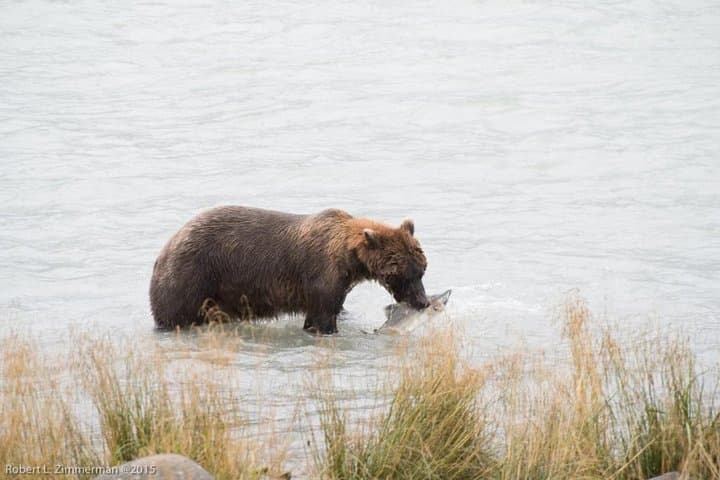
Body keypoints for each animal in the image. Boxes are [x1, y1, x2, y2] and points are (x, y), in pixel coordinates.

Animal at [149, 206, 429, 334]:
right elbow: (321, 317)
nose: (423, 301)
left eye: (422, 270)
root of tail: (164, 249)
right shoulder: (321, 275)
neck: (349, 260)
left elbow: (336, 307)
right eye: (400, 274)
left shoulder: (340, 283)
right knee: (176, 313)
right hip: (192, 276)